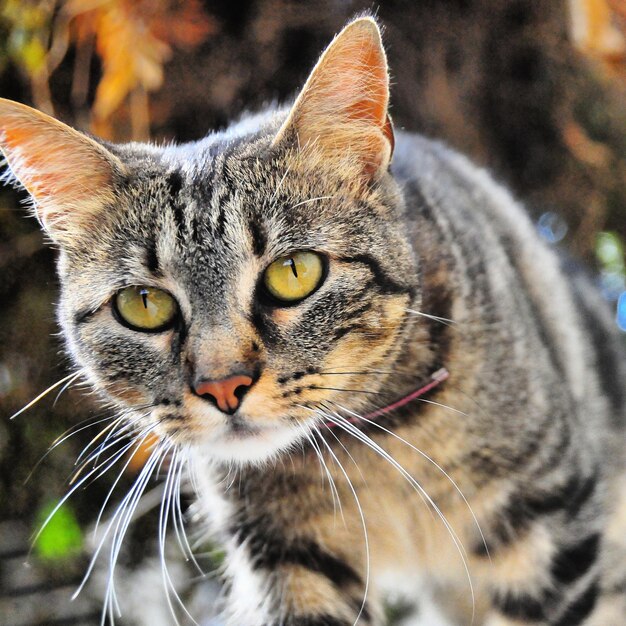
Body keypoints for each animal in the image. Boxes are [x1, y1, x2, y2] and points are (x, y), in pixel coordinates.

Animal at [1, 14, 624, 624]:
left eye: (294, 272)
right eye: (144, 305)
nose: (223, 386)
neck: (373, 452)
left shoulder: (546, 536)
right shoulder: (290, 563)